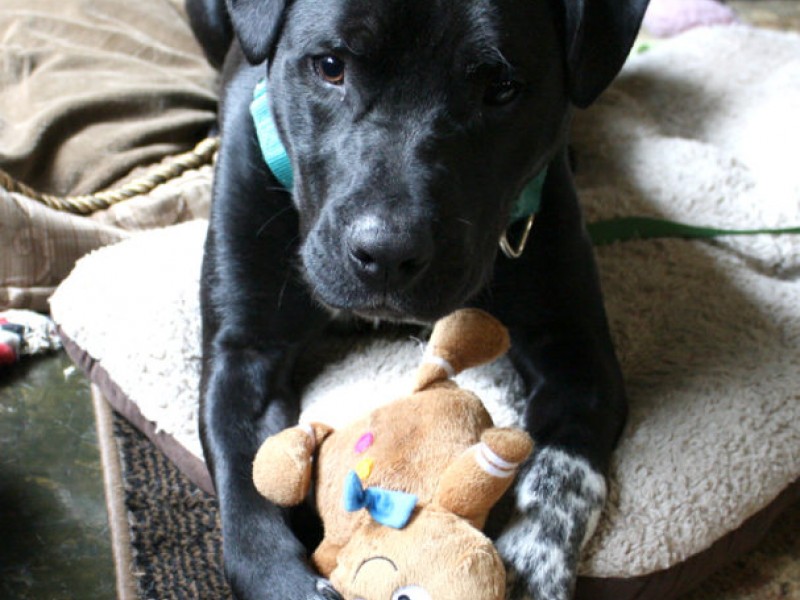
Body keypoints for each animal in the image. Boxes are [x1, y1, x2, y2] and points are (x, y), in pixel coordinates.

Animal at [188, 0, 648, 596]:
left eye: (502, 88)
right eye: (330, 66)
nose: (387, 254)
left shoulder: (579, 354)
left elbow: (563, 479)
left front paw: (528, 567)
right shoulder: (243, 351)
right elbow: (248, 495)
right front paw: (286, 581)